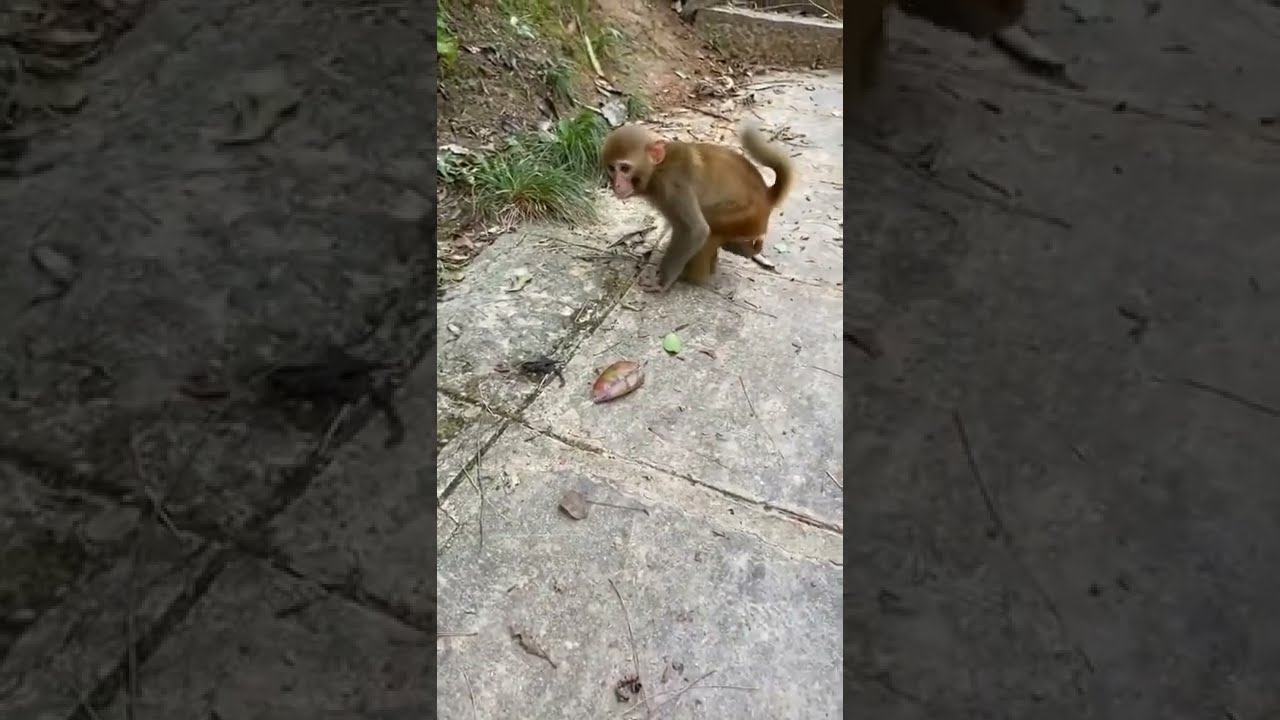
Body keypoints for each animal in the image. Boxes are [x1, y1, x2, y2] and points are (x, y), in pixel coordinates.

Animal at [600, 124, 793, 292]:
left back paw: (693, 277)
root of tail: (766, 195)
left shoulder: (672, 185)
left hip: (746, 214)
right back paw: (737, 248)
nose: (616, 185)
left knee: (710, 223)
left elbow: (695, 230)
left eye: (625, 168)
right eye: (612, 168)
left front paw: (662, 282)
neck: (657, 168)